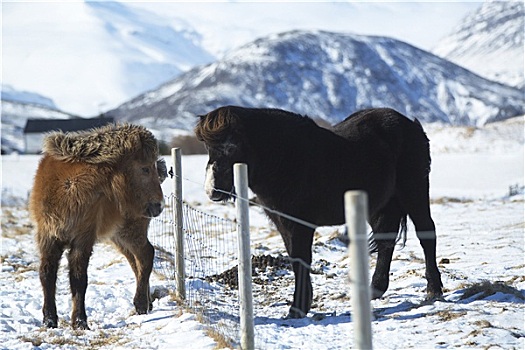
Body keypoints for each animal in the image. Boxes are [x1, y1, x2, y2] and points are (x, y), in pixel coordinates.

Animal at [28, 124, 166, 330]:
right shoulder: (48, 237)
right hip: (119, 236)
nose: (158, 205)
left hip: (131, 231)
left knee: (146, 255)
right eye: (145, 168)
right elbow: (47, 274)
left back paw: (141, 304)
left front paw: (80, 322)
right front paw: (49, 320)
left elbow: (78, 279)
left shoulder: (82, 239)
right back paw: (146, 302)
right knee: (136, 260)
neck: (68, 187)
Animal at [195, 105, 442, 318]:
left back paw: (434, 289)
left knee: (426, 234)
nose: (212, 190)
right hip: (381, 205)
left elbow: (301, 259)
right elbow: (295, 259)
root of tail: (411, 125)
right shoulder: (283, 222)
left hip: (413, 192)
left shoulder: (301, 223)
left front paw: (297, 308)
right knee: (386, 242)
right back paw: (375, 289)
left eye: (232, 146)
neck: (284, 159)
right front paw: (301, 305)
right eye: (207, 148)